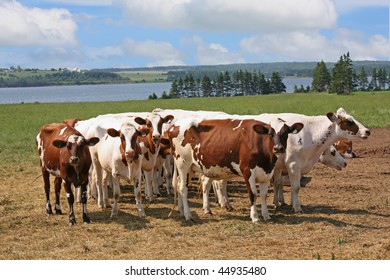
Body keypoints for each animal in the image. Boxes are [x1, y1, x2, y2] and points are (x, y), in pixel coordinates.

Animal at [166, 117, 304, 222]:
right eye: (270, 134)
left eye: (286, 133)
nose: (278, 148)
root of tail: (174, 126)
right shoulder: (248, 171)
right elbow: (253, 194)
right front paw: (255, 217)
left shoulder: (266, 174)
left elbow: (263, 195)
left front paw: (266, 215)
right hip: (182, 164)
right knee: (183, 188)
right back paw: (188, 215)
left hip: (191, 168)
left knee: (181, 185)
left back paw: (183, 210)